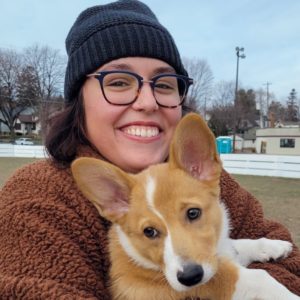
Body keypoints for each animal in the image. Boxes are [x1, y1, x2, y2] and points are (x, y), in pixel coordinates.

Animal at [71, 113, 298, 300]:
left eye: (193, 213)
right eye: (149, 231)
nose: (190, 277)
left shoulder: (216, 251)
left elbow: (237, 244)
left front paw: (274, 246)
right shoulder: (213, 279)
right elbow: (257, 277)